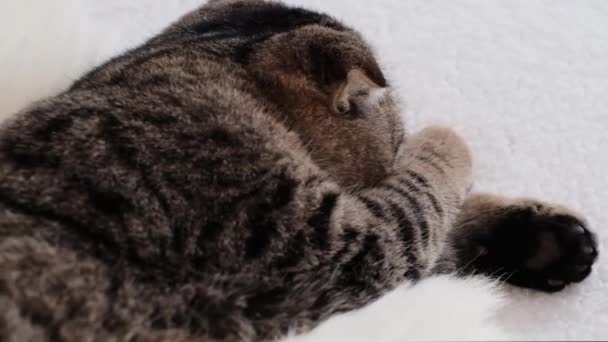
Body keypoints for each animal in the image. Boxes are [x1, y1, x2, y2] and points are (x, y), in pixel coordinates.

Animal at [0, 0, 600, 342]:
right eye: (397, 140)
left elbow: (440, 227)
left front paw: (541, 239)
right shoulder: (337, 246)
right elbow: (426, 198)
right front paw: (443, 139)